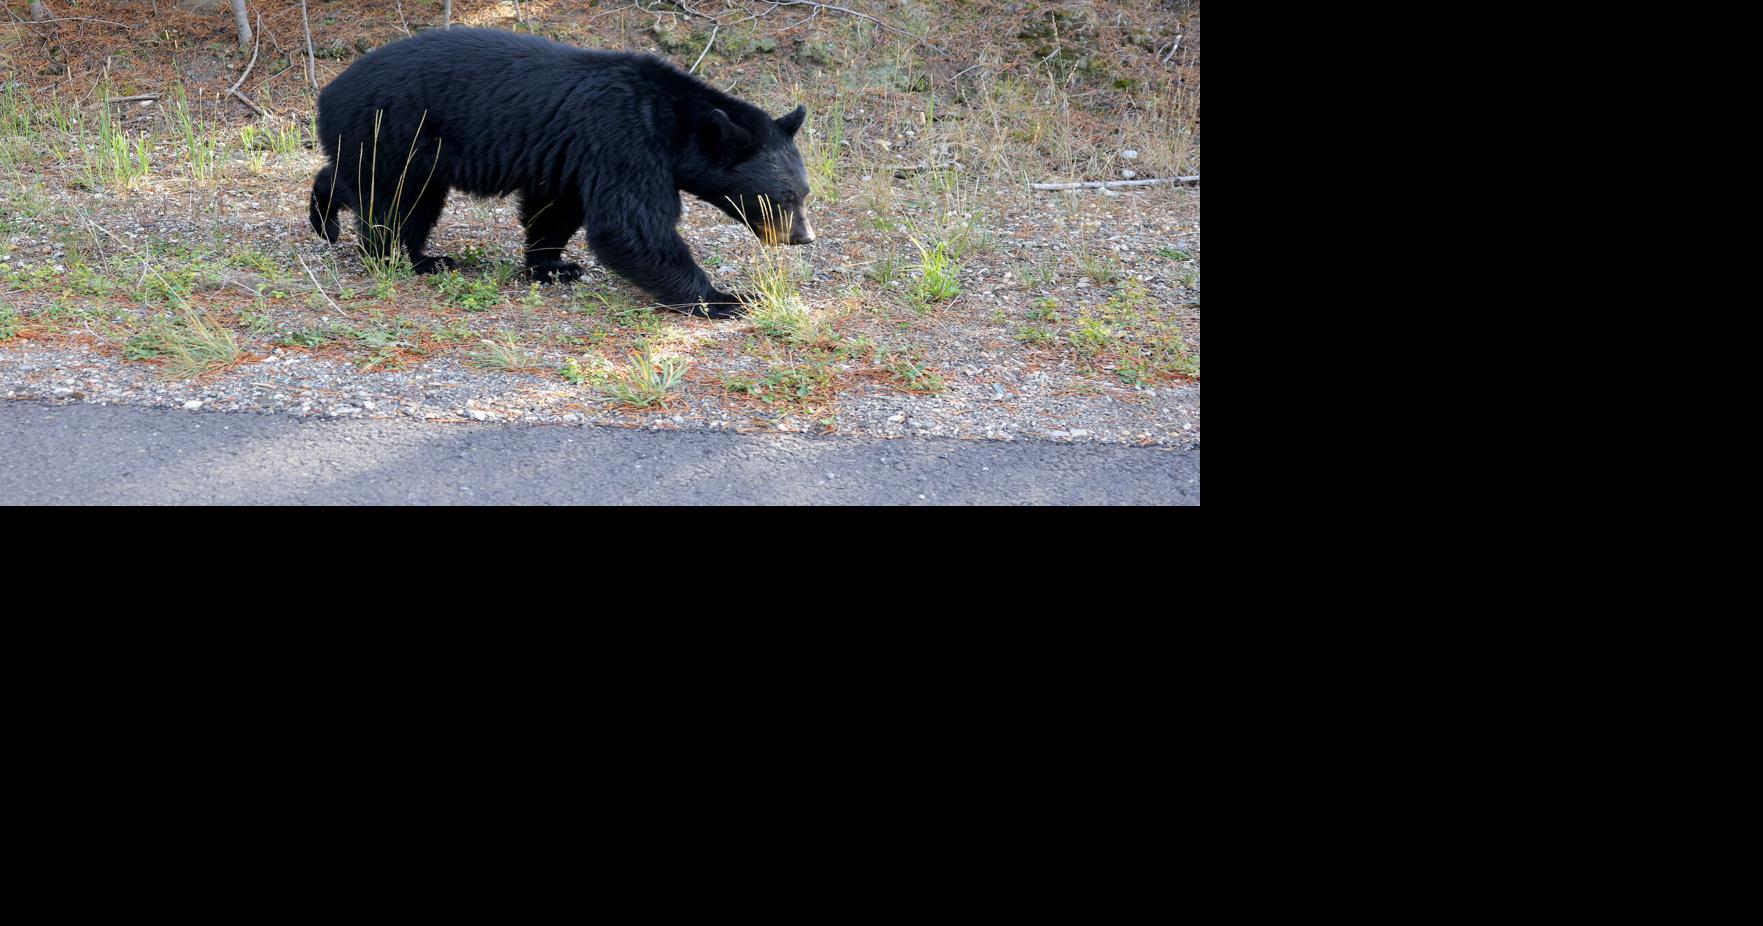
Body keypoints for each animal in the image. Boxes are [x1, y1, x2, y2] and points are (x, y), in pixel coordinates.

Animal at [308, 27, 815, 318]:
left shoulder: (574, 154)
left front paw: (552, 265)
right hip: (394, 129)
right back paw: (390, 254)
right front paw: (725, 299)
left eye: (805, 193)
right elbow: (631, 226)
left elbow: (556, 205)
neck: (672, 121)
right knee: (390, 199)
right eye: (784, 196)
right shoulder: (624, 141)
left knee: (387, 191)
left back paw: (374, 237)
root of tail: (327, 92)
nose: (803, 237)